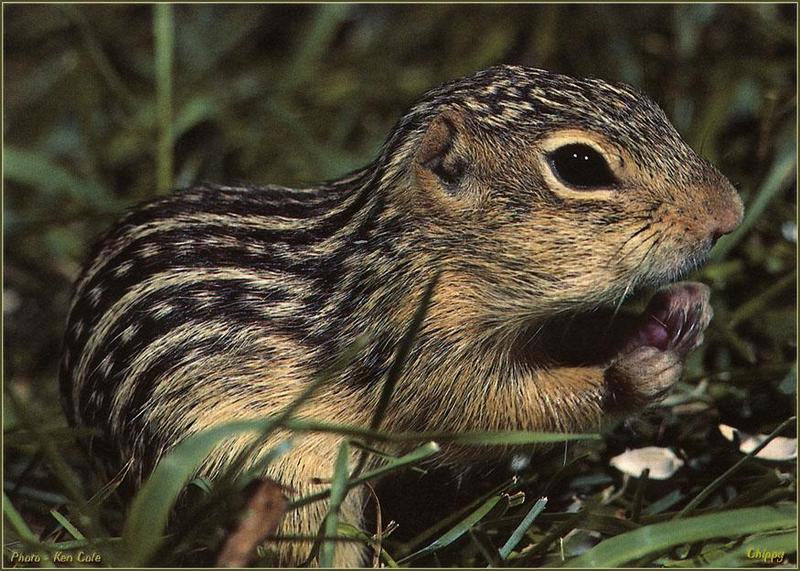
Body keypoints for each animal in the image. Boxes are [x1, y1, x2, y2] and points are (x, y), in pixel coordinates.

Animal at [61, 66, 744, 568]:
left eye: (649, 104)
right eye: (580, 166)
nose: (731, 213)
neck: (424, 256)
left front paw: (679, 311)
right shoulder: (417, 354)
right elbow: (496, 413)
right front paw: (636, 371)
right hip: (289, 494)